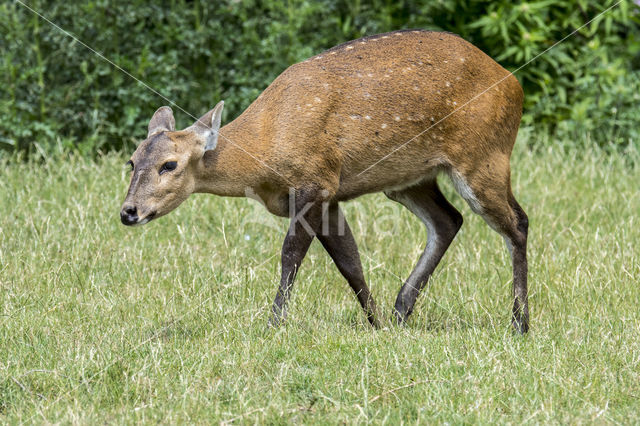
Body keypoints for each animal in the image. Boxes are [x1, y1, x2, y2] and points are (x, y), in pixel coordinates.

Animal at [120, 30, 528, 334]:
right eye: (132, 161)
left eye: (169, 165)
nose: (128, 212)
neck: (266, 147)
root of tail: (516, 86)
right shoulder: (329, 195)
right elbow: (350, 261)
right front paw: (376, 323)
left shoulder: (315, 181)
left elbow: (291, 255)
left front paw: (273, 324)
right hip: (409, 178)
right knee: (448, 220)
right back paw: (401, 311)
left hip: (483, 156)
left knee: (517, 222)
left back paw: (520, 323)